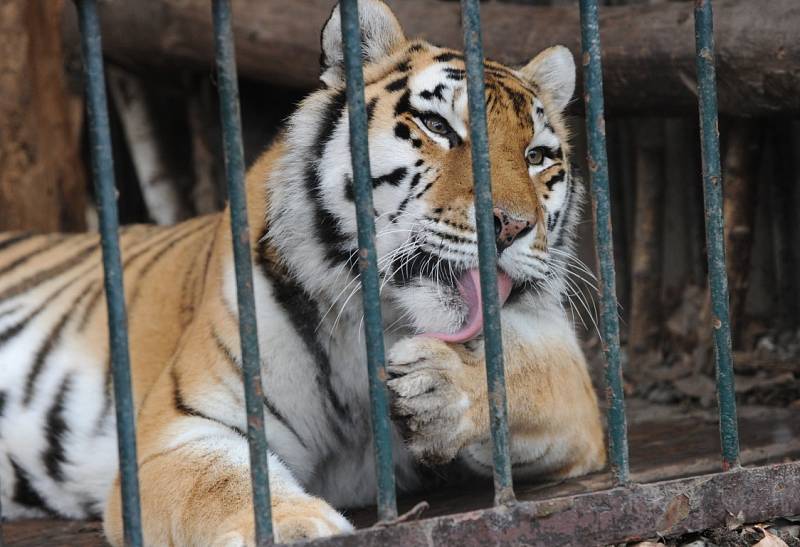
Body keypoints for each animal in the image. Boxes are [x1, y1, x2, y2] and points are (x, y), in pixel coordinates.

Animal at [0, 1, 604, 544]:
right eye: (437, 126)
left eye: (537, 156)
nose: (511, 225)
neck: (380, 318)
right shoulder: (177, 431)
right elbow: (225, 482)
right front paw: (296, 526)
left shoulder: (575, 388)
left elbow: (522, 376)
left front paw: (442, 384)